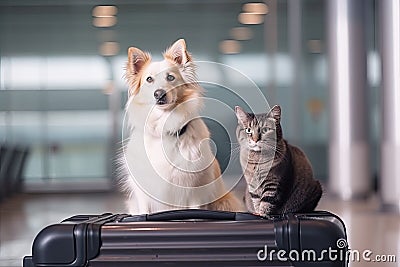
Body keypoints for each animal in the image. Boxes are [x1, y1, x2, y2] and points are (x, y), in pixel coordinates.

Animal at [119, 38, 244, 215]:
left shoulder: (196, 189)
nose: (159, 93)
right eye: (149, 79)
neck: (164, 127)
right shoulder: (143, 192)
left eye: (170, 77)